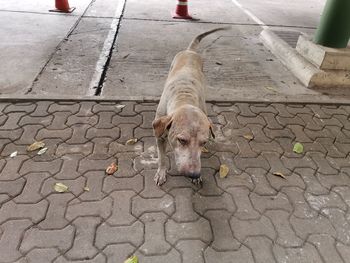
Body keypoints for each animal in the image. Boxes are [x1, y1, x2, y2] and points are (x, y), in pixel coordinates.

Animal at [152, 27, 228, 187]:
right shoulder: (159, 136)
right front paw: (161, 172)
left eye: (203, 142)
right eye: (182, 140)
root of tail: (190, 51)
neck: (184, 97)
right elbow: (162, 158)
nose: (194, 174)